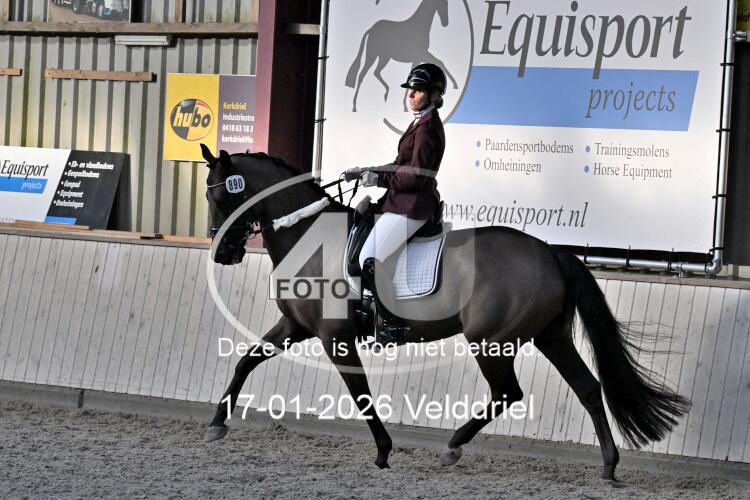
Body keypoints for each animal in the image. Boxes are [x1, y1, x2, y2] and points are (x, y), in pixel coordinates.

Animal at [200, 146, 690, 480]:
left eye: (223, 200)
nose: (221, 253)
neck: (309, 236)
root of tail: (551, 252)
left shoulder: (333, 337)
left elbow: (361, 395)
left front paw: (383, 450)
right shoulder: (295, 326)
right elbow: (245, 360)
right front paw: (216, 425)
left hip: (491, 341)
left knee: (509, 392)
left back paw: (453, 446)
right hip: (549, 335)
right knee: (588, 388)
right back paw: (608, 465)